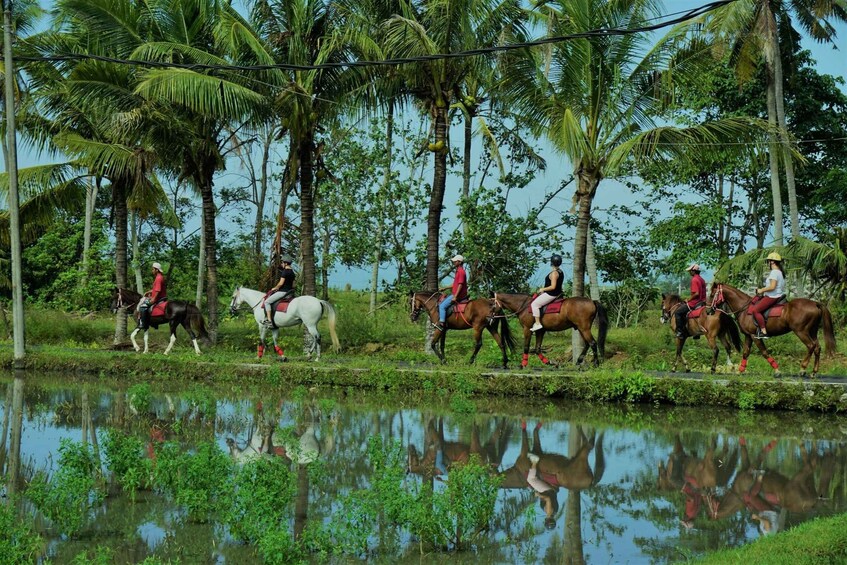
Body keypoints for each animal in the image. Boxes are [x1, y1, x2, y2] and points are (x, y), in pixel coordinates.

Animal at [708, 282, 836, 378]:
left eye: (712, 294)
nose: (709, 311)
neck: (744, 308)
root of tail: (815, 303)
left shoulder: (755, 336)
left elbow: (764, 352)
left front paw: (777, 370)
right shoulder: (748, 336)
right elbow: (745, 353)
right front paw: (740, 370)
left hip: (801, 331)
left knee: (811, 346)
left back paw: (803, 368)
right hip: (812, 332)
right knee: (817, 348)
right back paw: (814, 372)